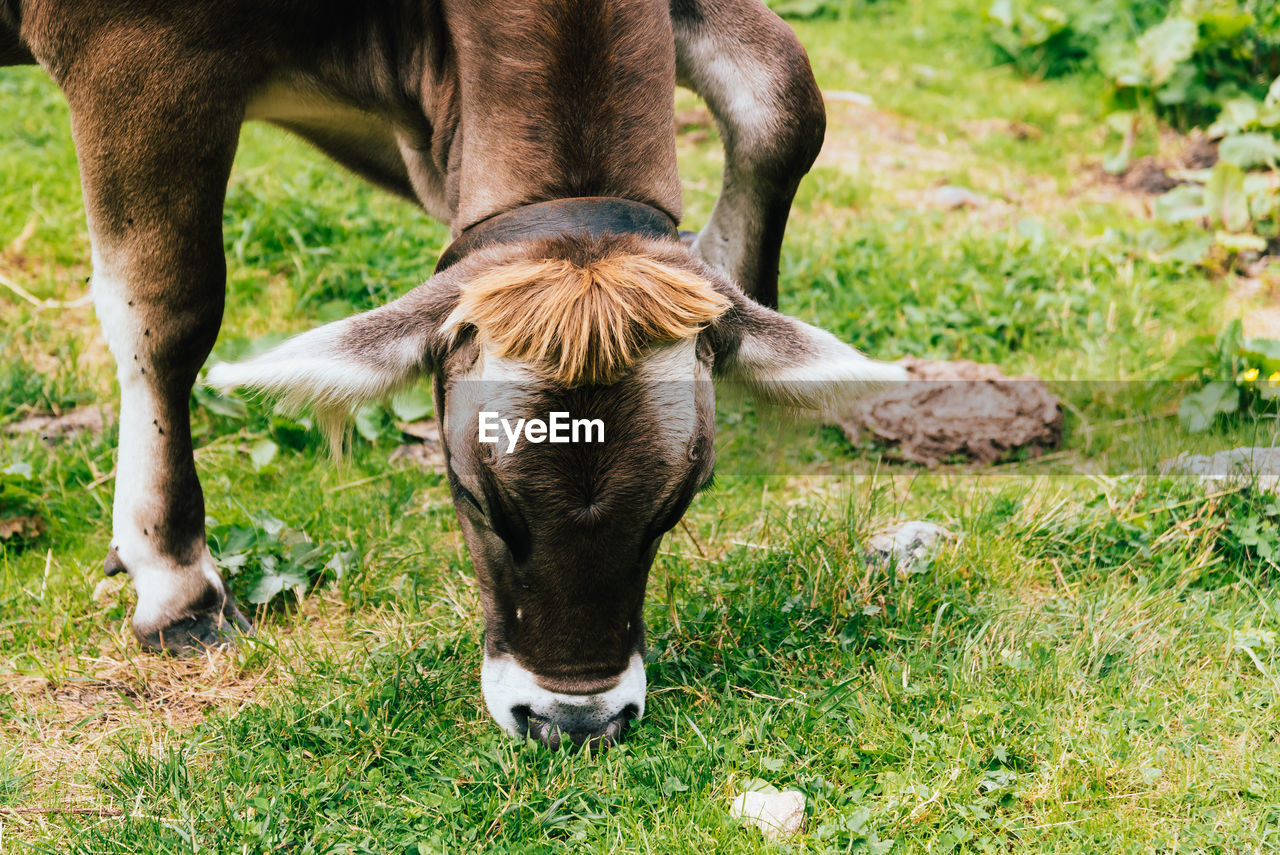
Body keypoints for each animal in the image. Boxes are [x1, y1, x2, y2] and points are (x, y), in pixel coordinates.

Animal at [0, 0, 906, 747]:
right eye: (475, 495)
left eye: (676, 503)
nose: (574, 721)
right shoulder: (140, 49)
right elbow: (168, 309)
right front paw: (174, 580)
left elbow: (784, 97)